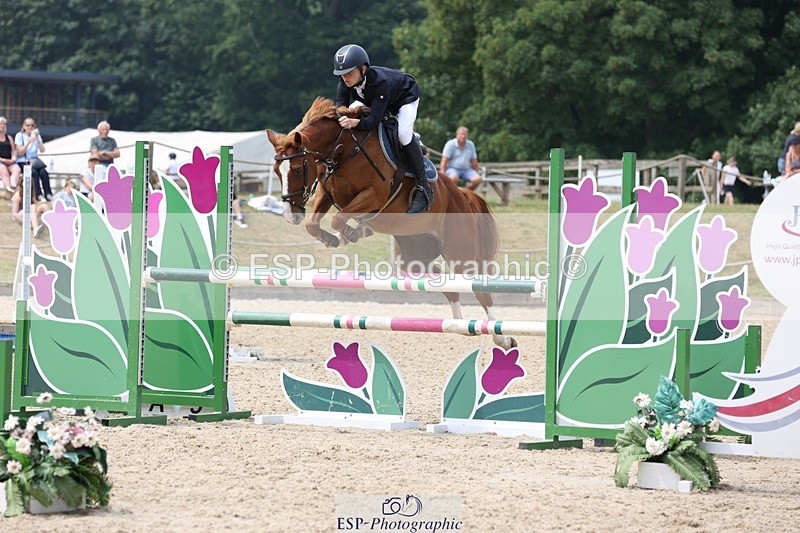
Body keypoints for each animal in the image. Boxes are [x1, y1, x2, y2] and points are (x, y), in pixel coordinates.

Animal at [266, 97, 515, 348]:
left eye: (298, 169)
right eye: (277, 171)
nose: (290, 214)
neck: (342, 148)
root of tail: (461, 193)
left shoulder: (374, 196)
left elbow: (338, 218)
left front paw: (350, 233)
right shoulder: (326, 192)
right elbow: (314, 224)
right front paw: (338, 238)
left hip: (459, 251)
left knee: (480, 290)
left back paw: (502, 338)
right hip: (415, 252)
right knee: (445, 283)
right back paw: (459, 326)